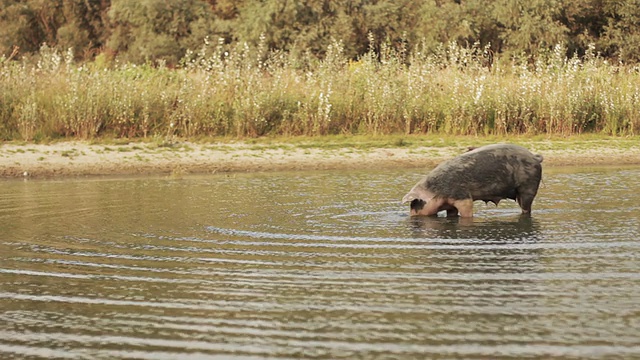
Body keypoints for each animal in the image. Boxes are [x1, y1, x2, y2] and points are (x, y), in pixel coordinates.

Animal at [402, 143, 544, 217]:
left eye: (414, 204)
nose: (411, 216)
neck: (435, 190)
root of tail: (534, 157)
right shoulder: (450, 204)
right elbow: (452, 213)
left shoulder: (462, 196)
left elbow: (467, 210)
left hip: (529, 187)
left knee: (526, 206)